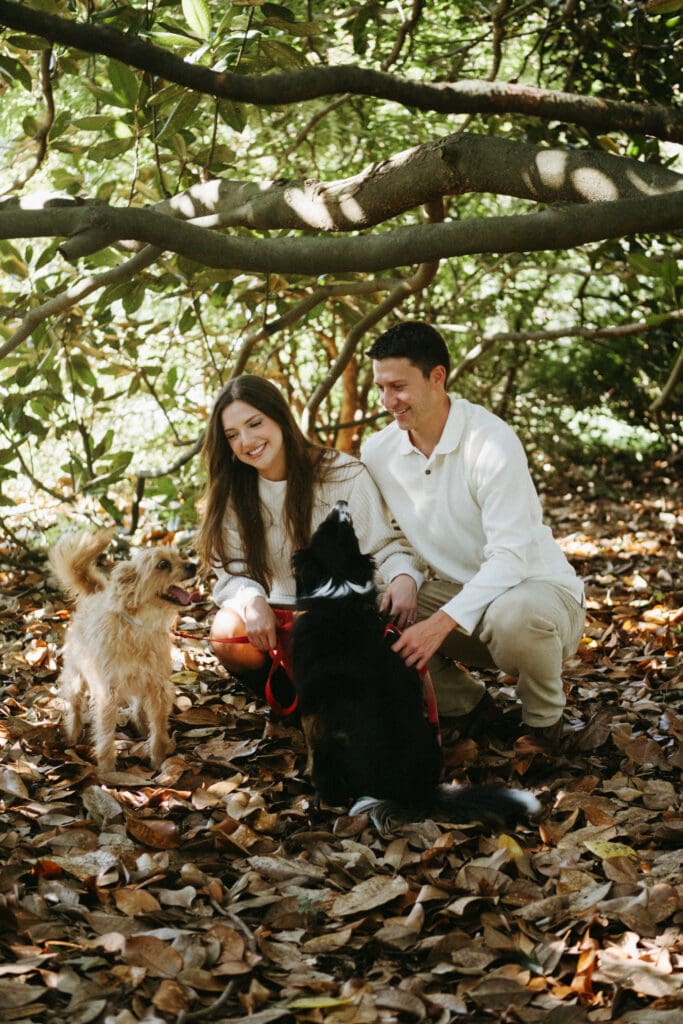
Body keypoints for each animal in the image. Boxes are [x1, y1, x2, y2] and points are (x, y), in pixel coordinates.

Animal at [49, 528, 194, 770]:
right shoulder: (106, 695)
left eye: (180, 556)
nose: (193, 565)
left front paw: (157, 762)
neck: (140, 627)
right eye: (163, 564)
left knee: (138, 704)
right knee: (76, 708)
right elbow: (106, 738)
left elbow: (158, 730)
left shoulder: (158, 689)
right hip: (76, 678)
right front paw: (108, 771)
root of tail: (94, 595)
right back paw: (73, 735)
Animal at [290, 501, 540, 831]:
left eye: (325, 527)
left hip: (331, 750)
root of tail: (417, 791)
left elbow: (307, 737)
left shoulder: (309, 702)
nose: (342, 503)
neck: (340, 593)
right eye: (346, 532)